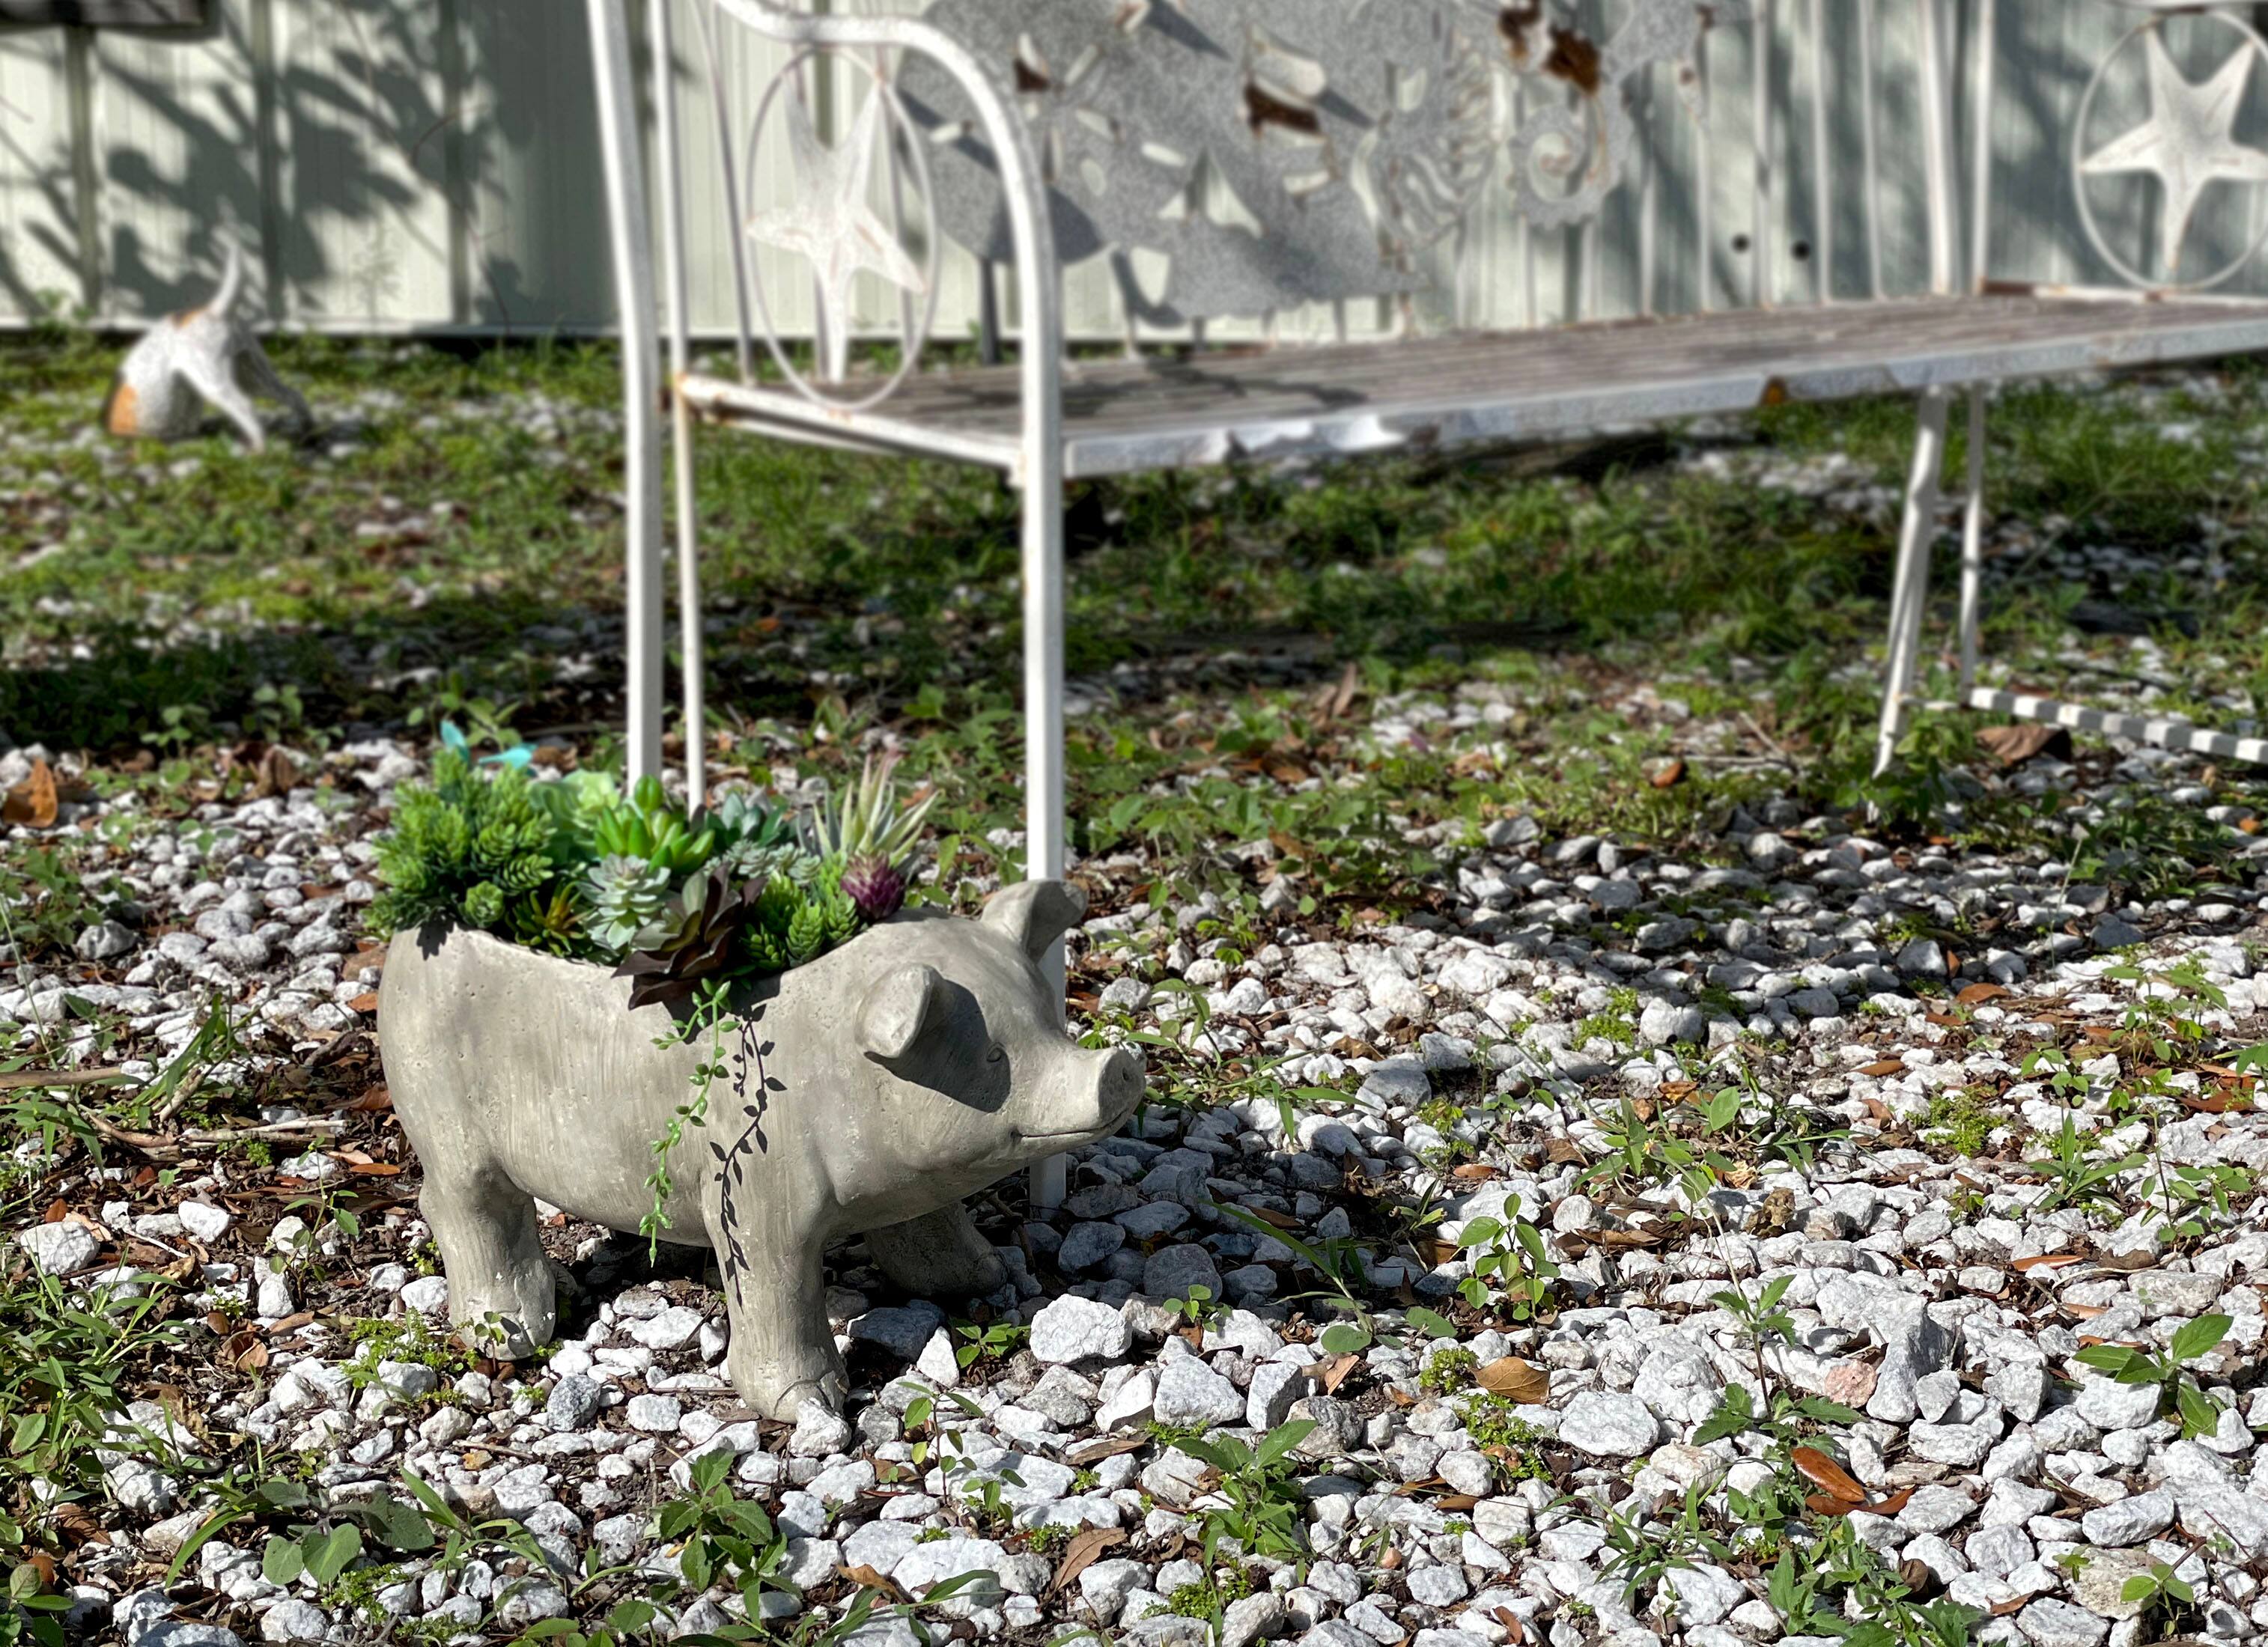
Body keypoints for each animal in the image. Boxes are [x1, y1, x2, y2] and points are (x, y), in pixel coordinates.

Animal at [378, 880, 1142, 1418]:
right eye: (992, 1056)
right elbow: (776, 1290)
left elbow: (930, 1229)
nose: (1118, 1068)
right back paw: (511, 1333)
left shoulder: (914, 1196)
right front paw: (815, 1409)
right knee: (460, 1204)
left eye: (1050, 1021)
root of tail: (410, 931)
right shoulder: (754, 1197)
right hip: (443, 1119)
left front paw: (984, 1279)